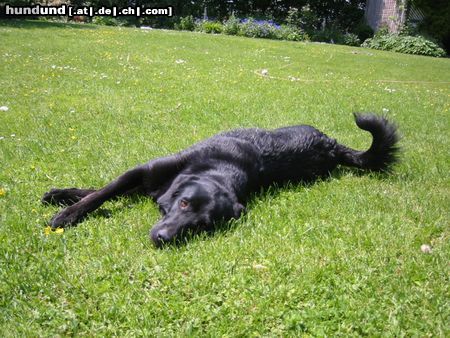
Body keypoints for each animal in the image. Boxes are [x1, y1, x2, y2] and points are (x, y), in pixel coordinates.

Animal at [42, 113, 400, 246]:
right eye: (184, 203)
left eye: (202, 226)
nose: (164, 239)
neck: (218, 168)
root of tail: (333, 145)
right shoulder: (142, 172)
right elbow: (99, 193)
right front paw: (64, 208)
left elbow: (103, 192)